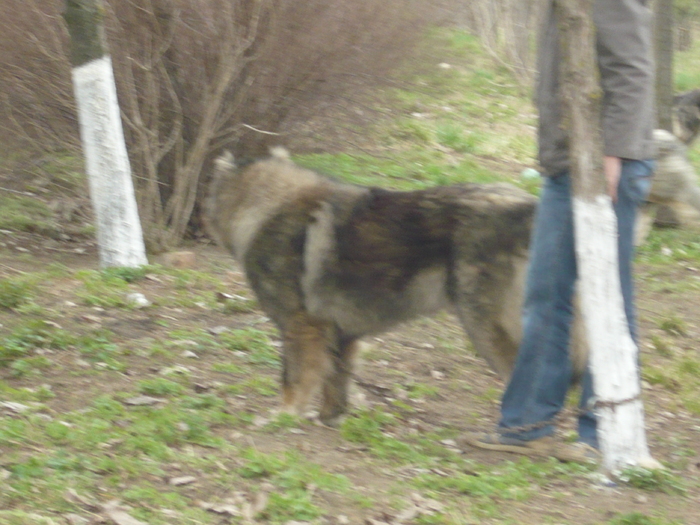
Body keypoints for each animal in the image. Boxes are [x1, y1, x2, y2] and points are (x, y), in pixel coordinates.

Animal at [204, 148, 540, 426]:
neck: (266, 206)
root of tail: (525, 209)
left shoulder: (300, 327)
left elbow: (294, 378)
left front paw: (284, 416)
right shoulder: (340, 335)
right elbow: (335, 380)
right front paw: (330, 418)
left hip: (483, 326)